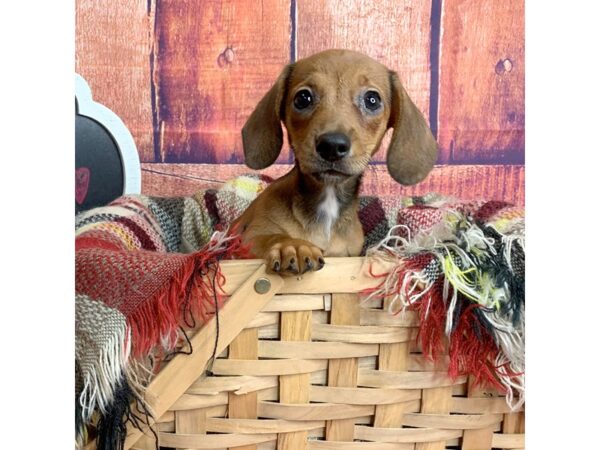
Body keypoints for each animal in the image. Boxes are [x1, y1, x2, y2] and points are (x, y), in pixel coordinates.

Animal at [233, 49, 436, 274]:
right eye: (303, 98)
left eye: (372, 100)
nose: (331, 146)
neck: (327, 202)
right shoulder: (252, 236)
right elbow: (273, 237)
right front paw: (293, 246)